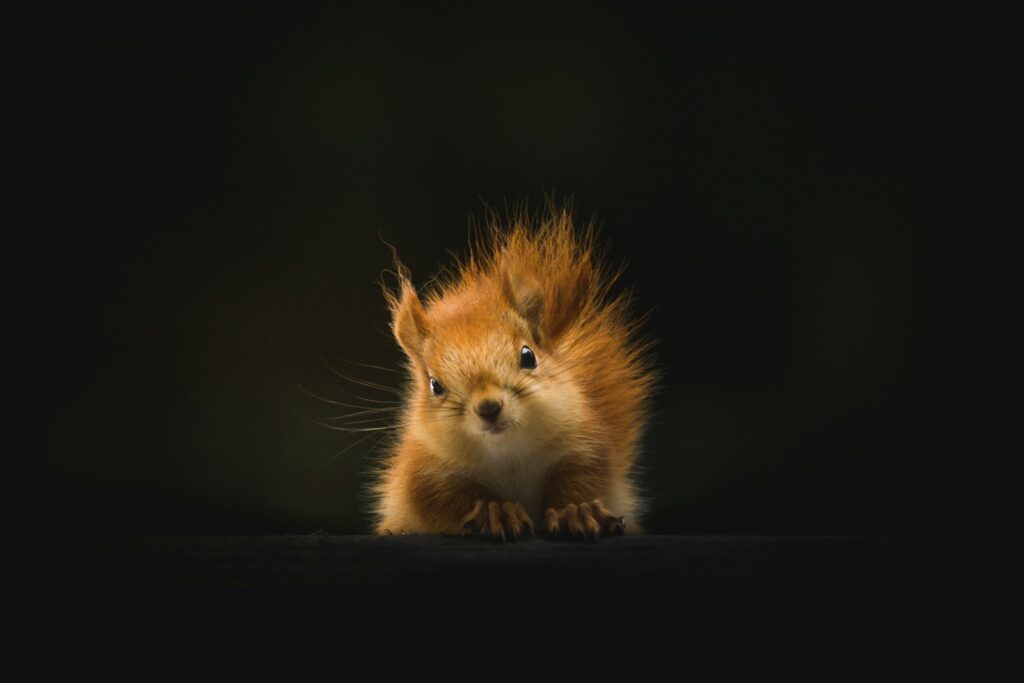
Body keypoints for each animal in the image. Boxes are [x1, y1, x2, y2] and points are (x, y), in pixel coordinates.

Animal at [372, 205, 651, 540]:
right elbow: (449, 498)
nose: (489, 407)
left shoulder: (585, 443)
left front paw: (577, 511)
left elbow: (582, 479)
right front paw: (496, 512)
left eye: (528, 356)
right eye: (435, 385)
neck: (508, 453)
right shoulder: (424, 472)